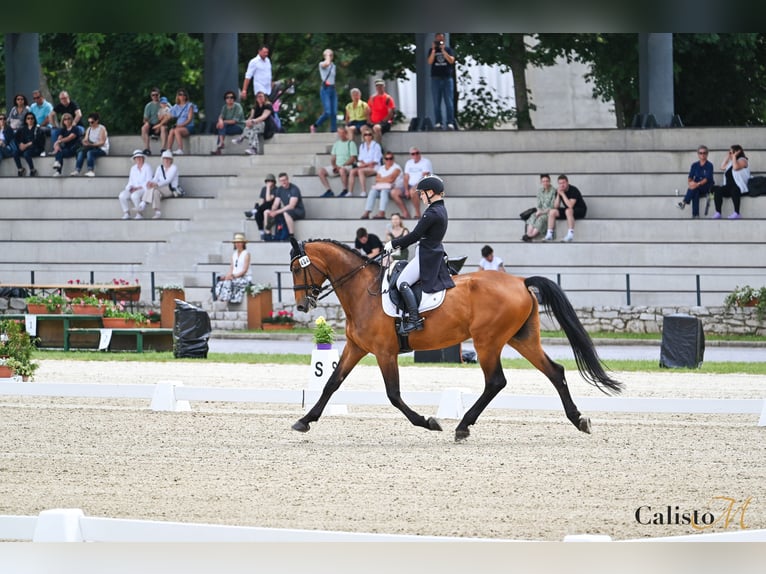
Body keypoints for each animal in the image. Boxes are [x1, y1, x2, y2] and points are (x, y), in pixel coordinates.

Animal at [288, 236, 624, 444]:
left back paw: (462, 427)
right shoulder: (356, 347)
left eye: (296, 268)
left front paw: (428, 421)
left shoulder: (385, 352)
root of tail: (519, 281)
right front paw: (305, 420)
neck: (362, 291)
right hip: (521, 339)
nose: (303, 306)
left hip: (487, 341)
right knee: (555, 372)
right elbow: (331, 383)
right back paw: (578, 420)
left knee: (496, 381)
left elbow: (393, 395)